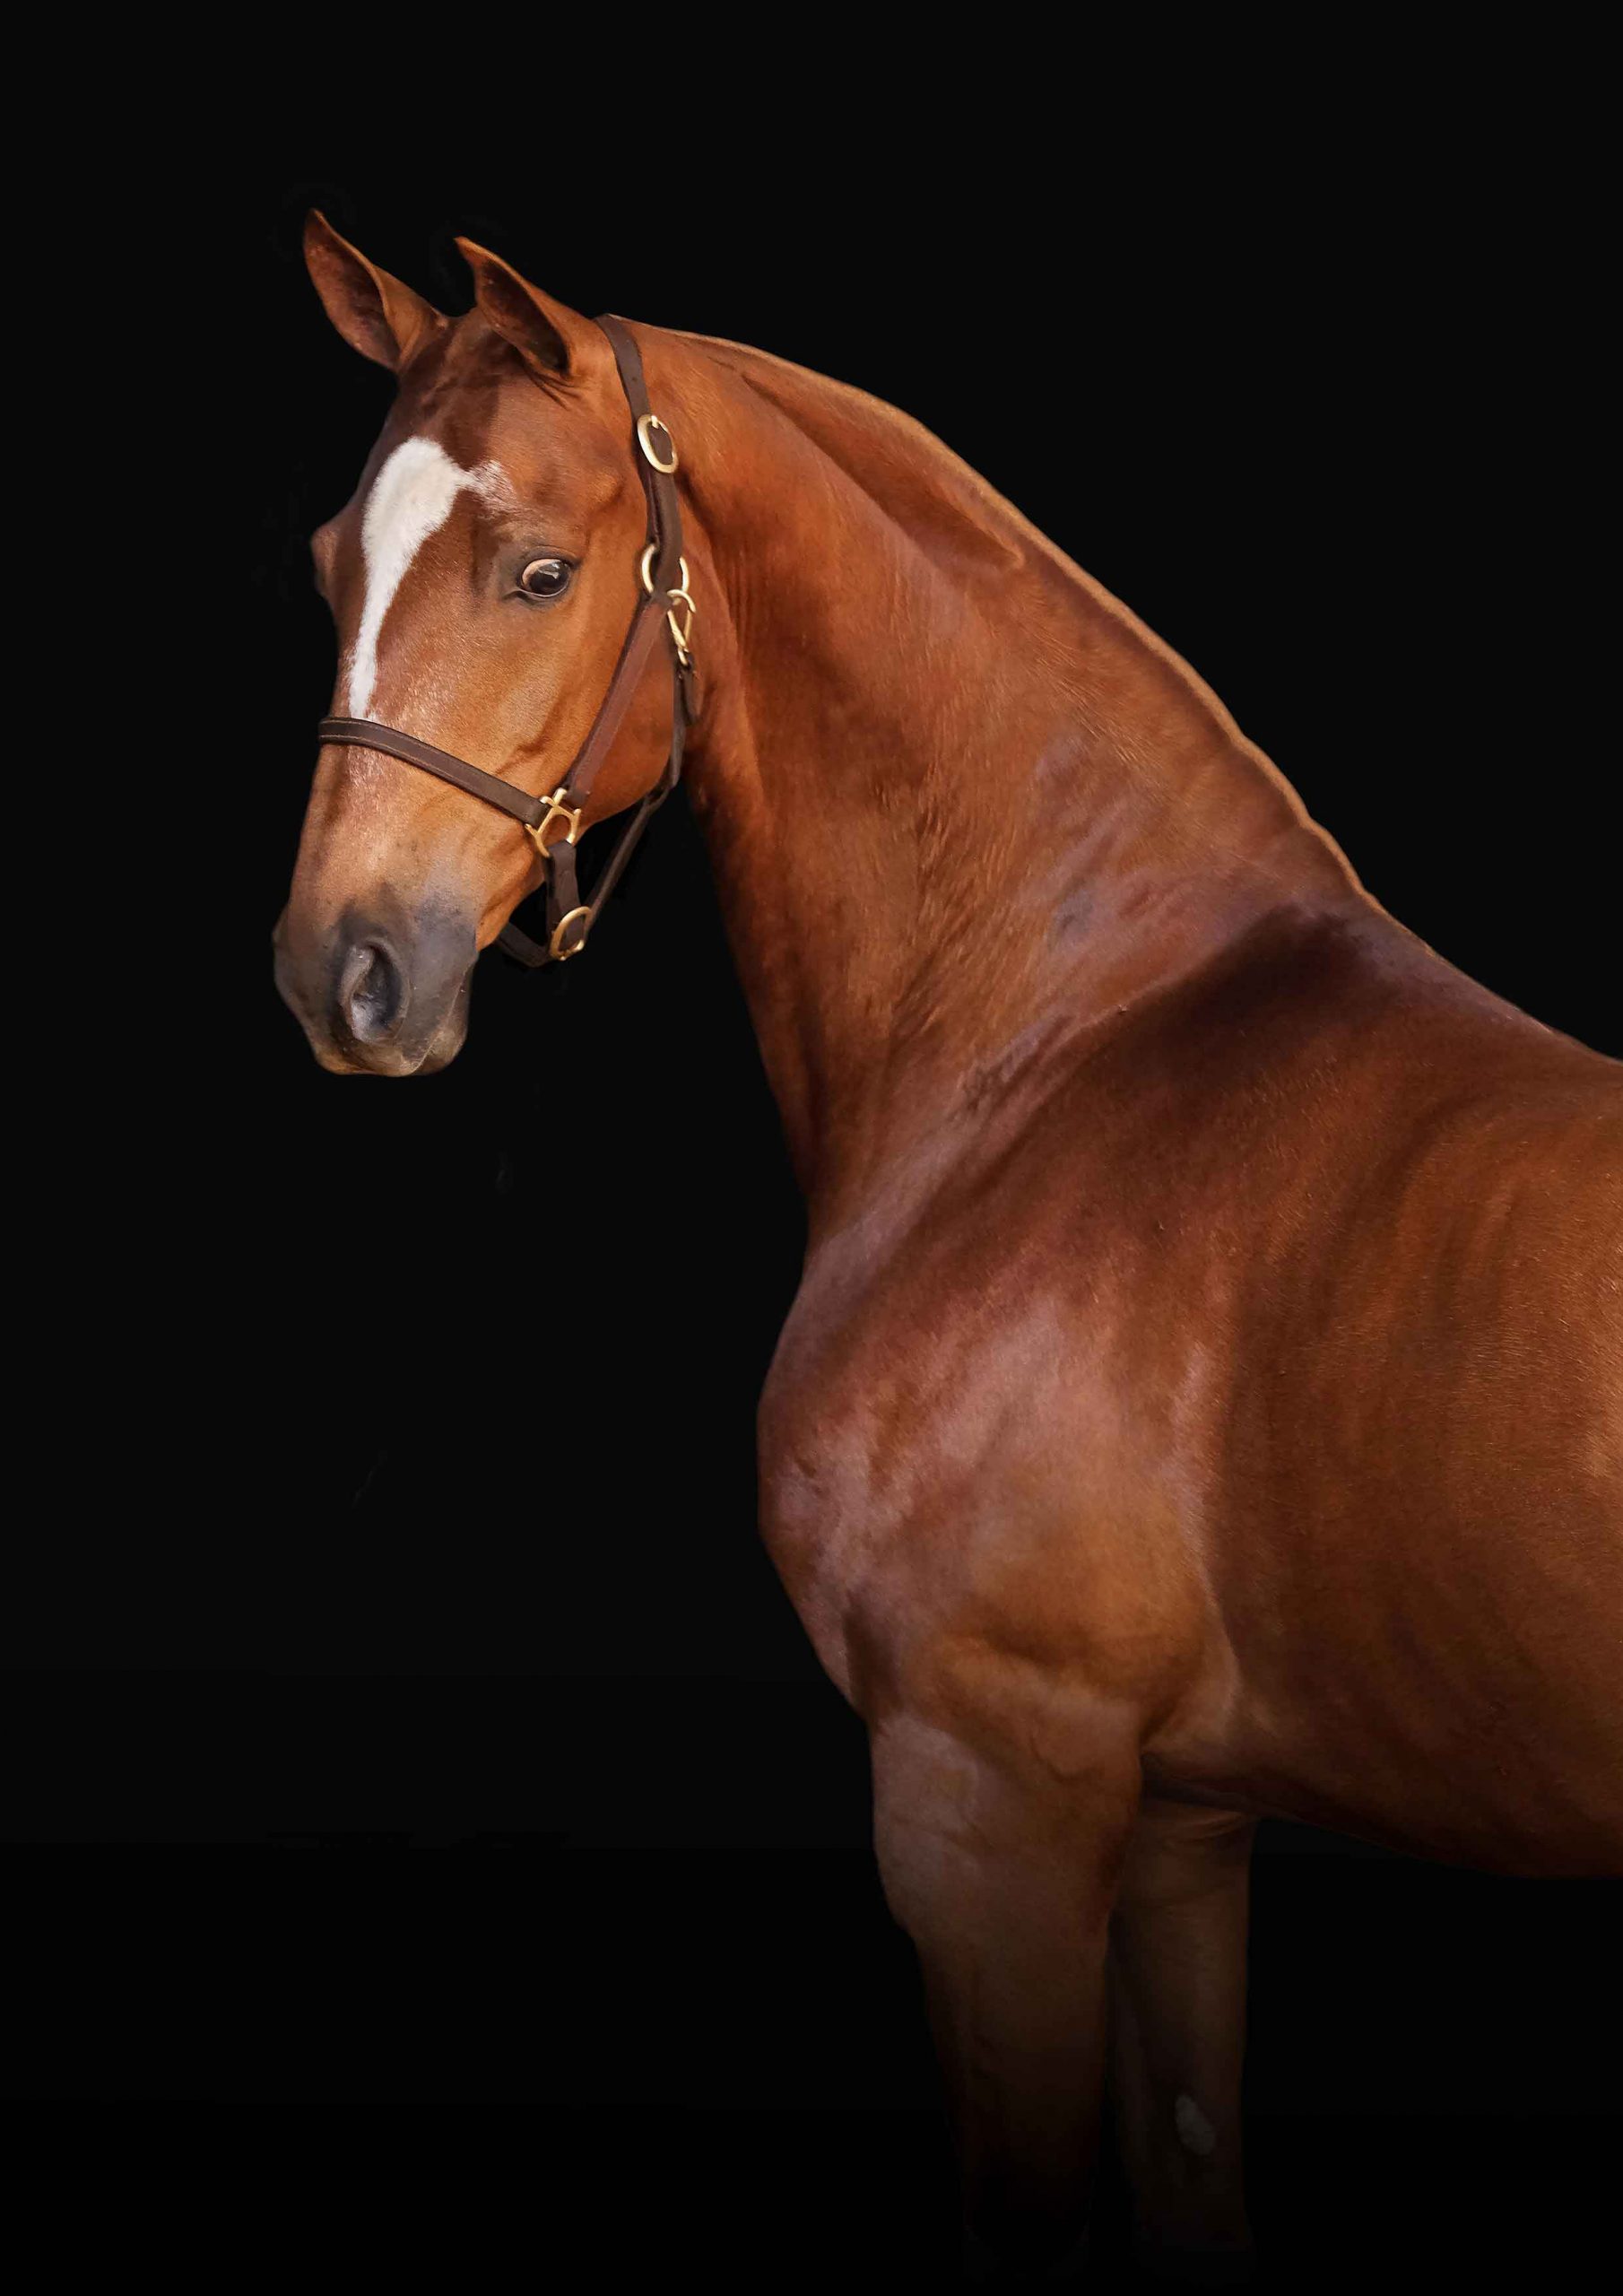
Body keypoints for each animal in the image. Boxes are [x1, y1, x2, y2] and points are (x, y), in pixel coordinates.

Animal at [274, 214, 1623, 2284]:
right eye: (334, 560)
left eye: (540, 569)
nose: (343, 970)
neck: (1066, 1046)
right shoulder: (1181, 1828)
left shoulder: (989, 1811)